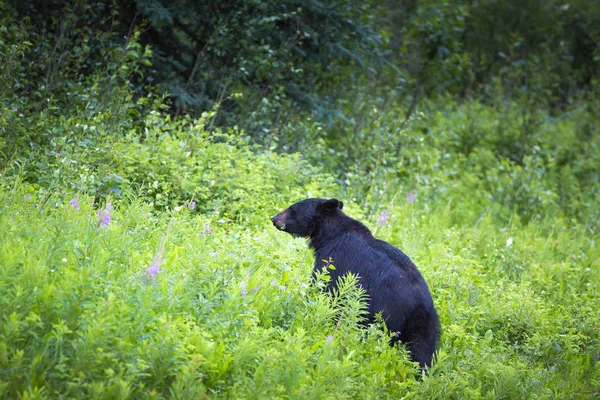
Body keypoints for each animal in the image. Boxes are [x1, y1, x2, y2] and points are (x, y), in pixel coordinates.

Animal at [274, 198, 440, 368]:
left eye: (292, 209)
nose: (274, 219)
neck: (329, 234)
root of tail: (420, 305)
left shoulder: (334, 259)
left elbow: (324, 288)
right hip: (426, 326)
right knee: (423, 351)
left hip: (385, 313)